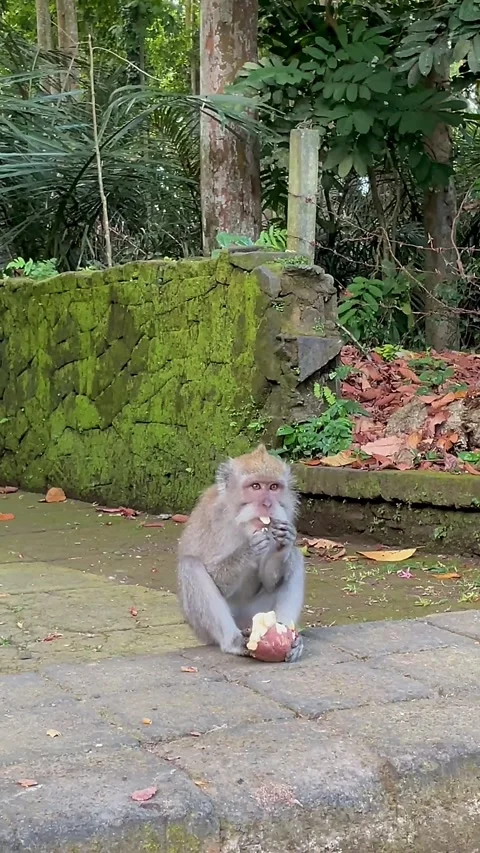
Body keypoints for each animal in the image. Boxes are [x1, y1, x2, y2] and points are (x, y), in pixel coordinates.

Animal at [177, 444, 305, 663]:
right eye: (255, 487)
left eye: (273, 487)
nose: (267, 504)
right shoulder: (214, 520)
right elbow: (216, 578)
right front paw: (248, 550)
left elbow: (270, 581)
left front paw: (283, 544)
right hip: (205, 628)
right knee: (190, 566)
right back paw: (234, 641)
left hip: (256, 612)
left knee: (295, 559)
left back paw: (287, 635)